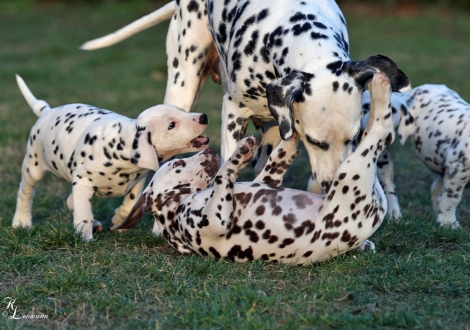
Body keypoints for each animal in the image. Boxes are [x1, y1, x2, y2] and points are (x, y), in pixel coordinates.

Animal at [11, 75, 209, 240]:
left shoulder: (138, 179)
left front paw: (119, 219)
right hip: (33, 166)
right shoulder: (82, 181)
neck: (120, 145)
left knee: (69, 200)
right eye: (171, 125)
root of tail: (47, 111)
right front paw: (84, 237)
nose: (203, 117)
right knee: (25, 193)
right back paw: (22, 222)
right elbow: (83, 213)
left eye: (181, 110)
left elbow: (130, 204)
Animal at [114, 73, 396, 264]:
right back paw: (381, 87)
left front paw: (290, 126)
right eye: (177, 163)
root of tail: (376, 211)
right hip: (351, 173)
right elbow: (224, 175)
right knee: (381, 132)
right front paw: (237, 155)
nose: (209, 151)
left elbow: (279, 156)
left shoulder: (265, 178)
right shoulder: (216, 220)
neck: (179, 203)